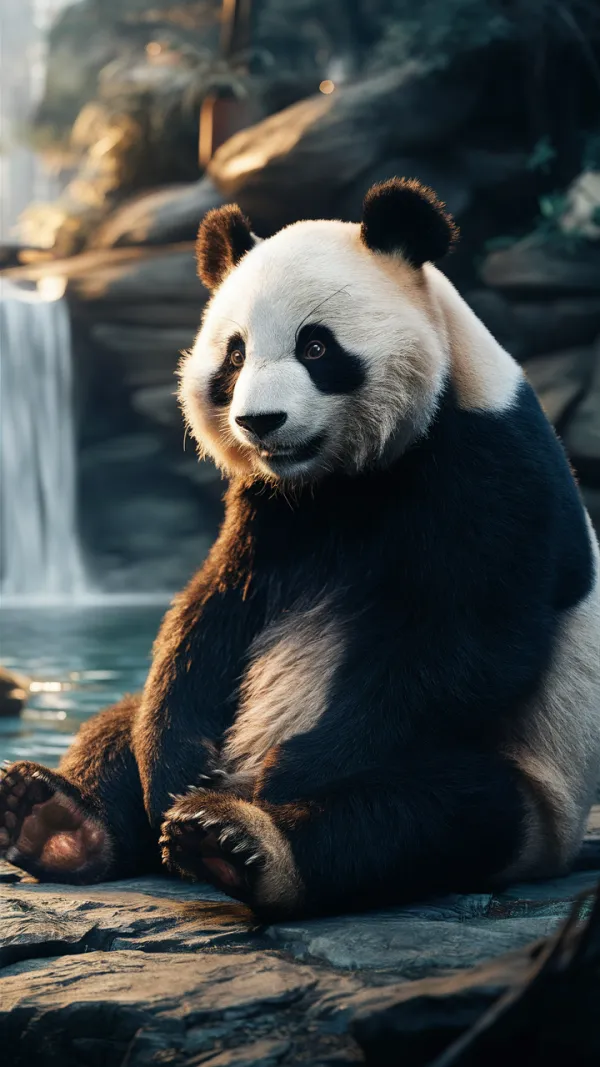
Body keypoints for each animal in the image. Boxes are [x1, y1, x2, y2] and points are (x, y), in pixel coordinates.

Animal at [1, 178, 599, 919]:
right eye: (234, 355)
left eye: (316, 348)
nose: (261, 422)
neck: (339, 479)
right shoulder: (268, 510)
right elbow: (212, 610)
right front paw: (177, 767)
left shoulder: (489, 467)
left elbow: (463, 643)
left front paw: (286, 773)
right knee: (120, 724)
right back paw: (57, 820)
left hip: (534, 792)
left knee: (431, 813)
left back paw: (238, 841)